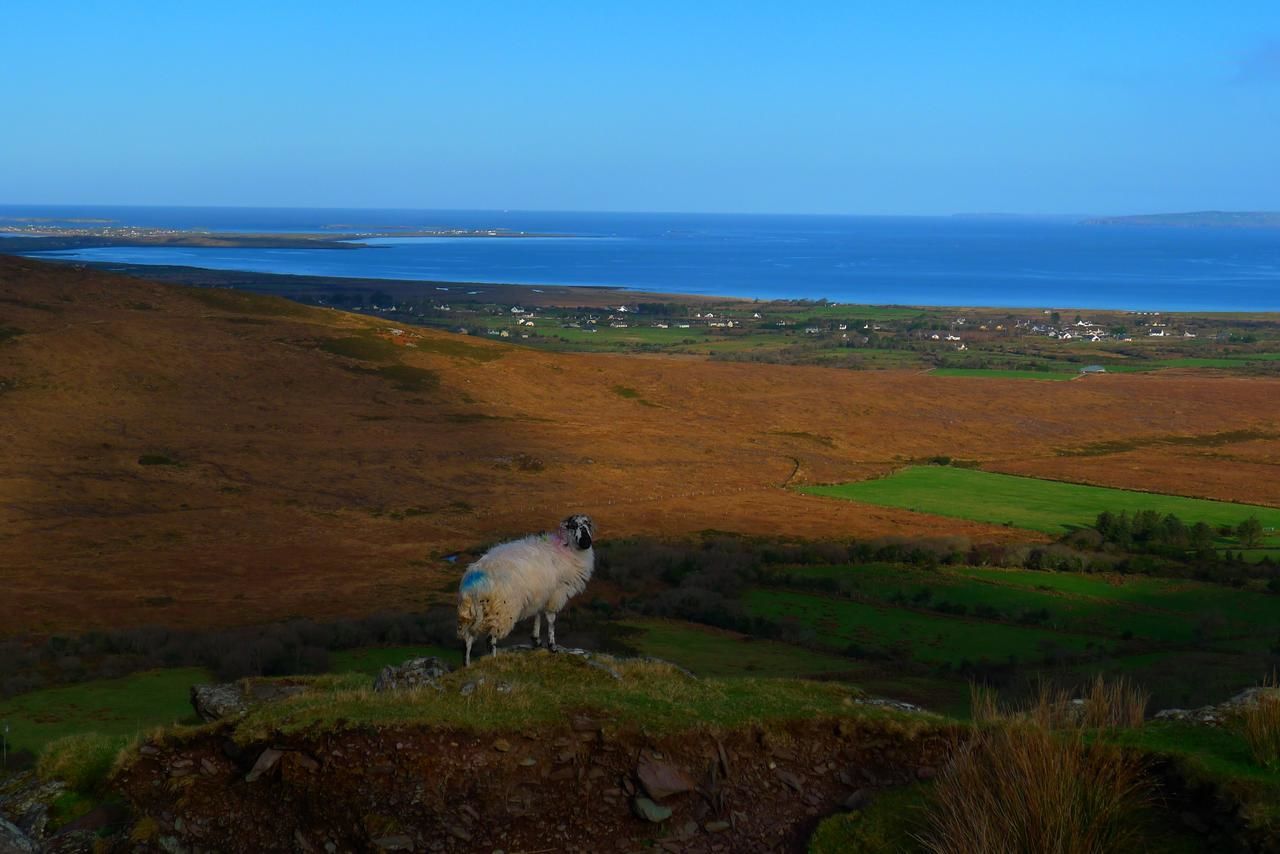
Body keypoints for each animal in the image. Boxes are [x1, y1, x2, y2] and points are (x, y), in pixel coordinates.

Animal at [455, 514, 593, 665]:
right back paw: (495, 662)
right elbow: (551, 620)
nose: (586, 542)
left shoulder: (541, 593)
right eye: (573, 525)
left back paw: (467, 665)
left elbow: (537, 614)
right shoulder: (555, 594)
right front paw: (552, 646)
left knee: (467, 641)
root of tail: (474, 584)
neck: (567, 550)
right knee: (491, 639)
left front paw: (536, 640)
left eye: (588, 525)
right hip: (502, 610)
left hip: (470, 615)